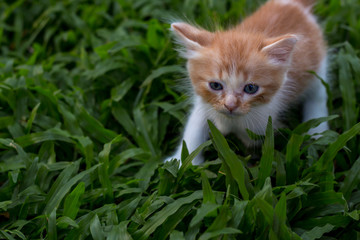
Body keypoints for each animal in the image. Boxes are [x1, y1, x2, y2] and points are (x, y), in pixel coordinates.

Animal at [167, 0, 330, 164]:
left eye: (251, 88)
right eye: (215, 85)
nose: (230, 105)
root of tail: (294, 5)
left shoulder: (265, 118)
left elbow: (253, 138)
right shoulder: (204, 104)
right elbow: (194, 129)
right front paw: (181, 160)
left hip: (317, 68)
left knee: (318, 94)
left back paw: (318, 130)